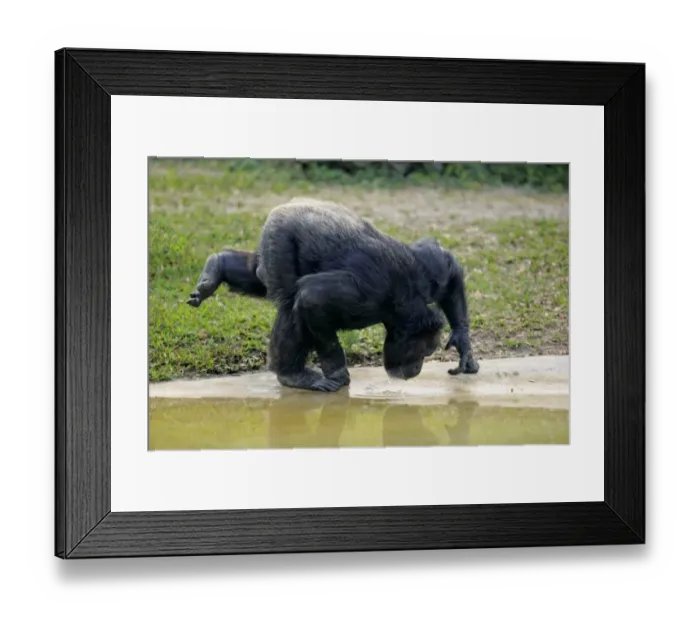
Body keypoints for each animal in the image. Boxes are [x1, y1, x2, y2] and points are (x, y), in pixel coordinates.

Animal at [187, 199, 479, 392]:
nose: (417, 368)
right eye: (423, 351)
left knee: (257, 275)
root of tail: (285, 205)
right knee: (289, 303)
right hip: (280, 240)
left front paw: (463, 344)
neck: (403, 302)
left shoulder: (428, 272)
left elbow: (447, 263)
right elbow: (312, 299)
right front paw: (337, 372)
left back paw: (216, 266)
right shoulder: (366, 298)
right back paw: (293, 375)